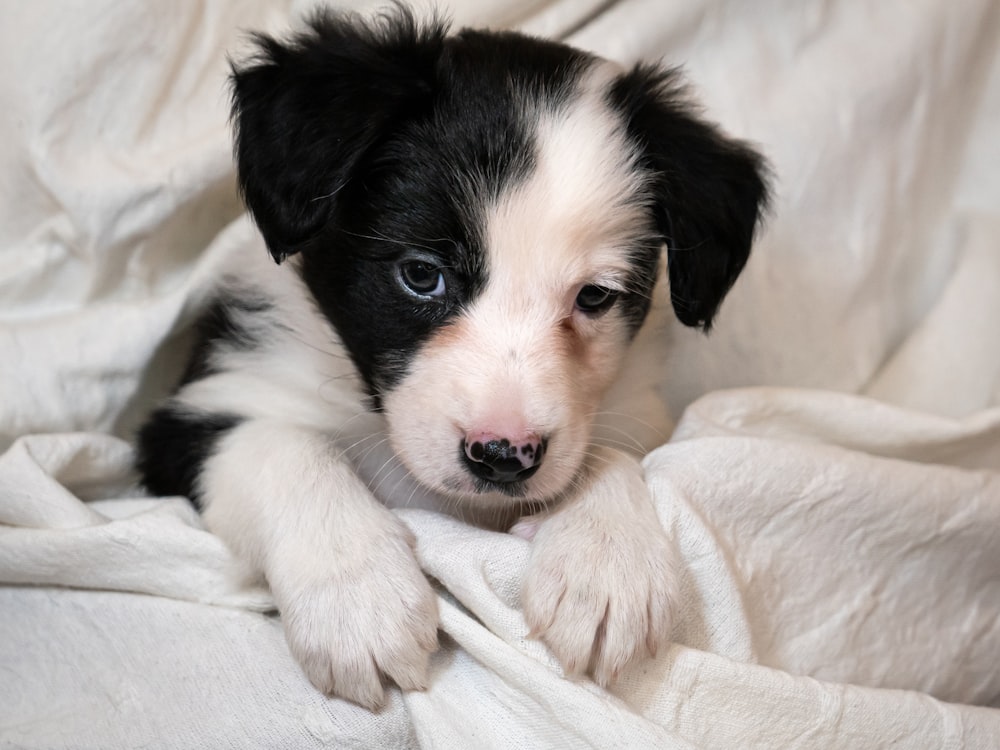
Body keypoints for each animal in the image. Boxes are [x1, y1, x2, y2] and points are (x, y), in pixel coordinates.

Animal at [137, 4, 768, 712]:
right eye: (421, 275)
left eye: (595, 296)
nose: (503, 455)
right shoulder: (202, 407)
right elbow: (287, 450)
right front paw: (360, 600)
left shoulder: (631, 411)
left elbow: (604, 450)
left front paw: (605, 563)